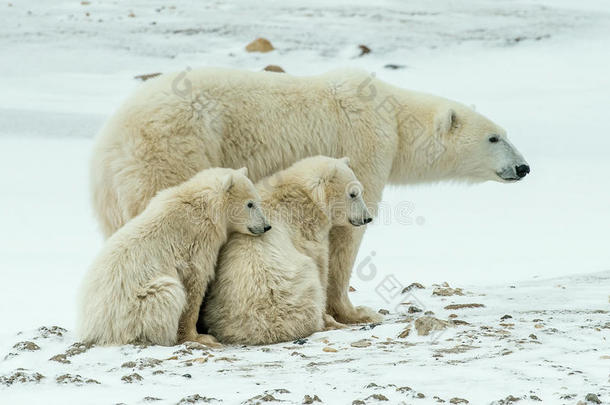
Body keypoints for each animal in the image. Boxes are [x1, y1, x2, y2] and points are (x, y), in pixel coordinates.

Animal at [76, 166, 268, 346]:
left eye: (258, 200)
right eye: (250, 204)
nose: (267, 226)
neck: (203, 206)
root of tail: (93, 327)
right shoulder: (196, 241)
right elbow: (194, 283)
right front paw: (199, 337)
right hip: (134, 307)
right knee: (168, 292)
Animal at [202, 156, 370, 342]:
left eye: (360, 191)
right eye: (353, 194)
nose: (367, 218)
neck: (304, 195)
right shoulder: (307, 231)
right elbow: (320, 264)